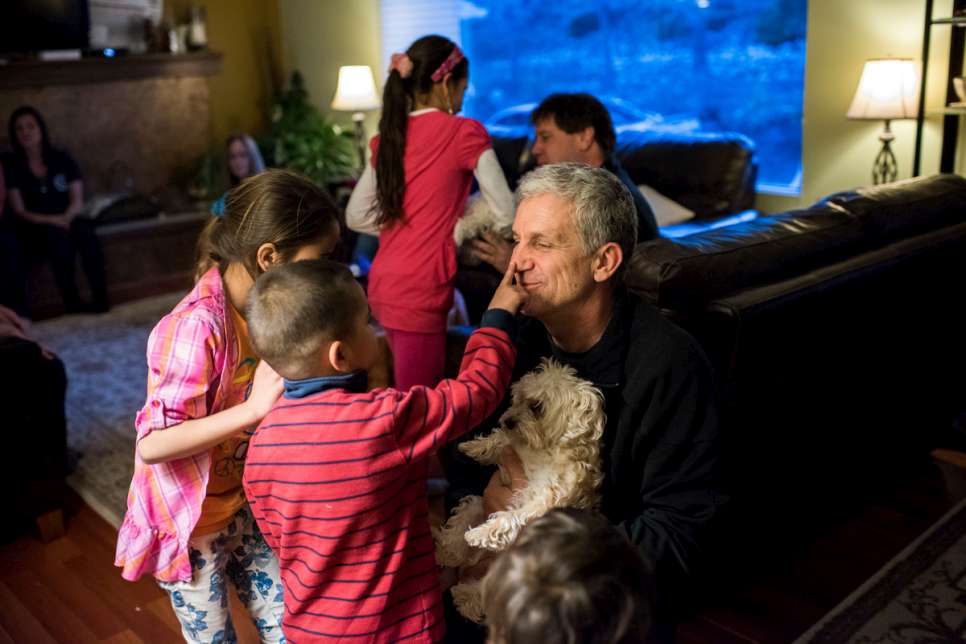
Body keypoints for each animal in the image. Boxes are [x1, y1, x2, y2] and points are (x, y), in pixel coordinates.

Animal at [436, 360, 604, 620]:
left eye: (537, 406)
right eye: (518, 398)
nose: (508, 420)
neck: (544, 449)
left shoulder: (545, 501)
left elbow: (510, 518)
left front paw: (482, 534)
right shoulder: (515, 451)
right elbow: (503, 441)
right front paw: (475, 446)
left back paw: (465, 596)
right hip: (476, 505)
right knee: (459, 526)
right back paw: (446, 552)